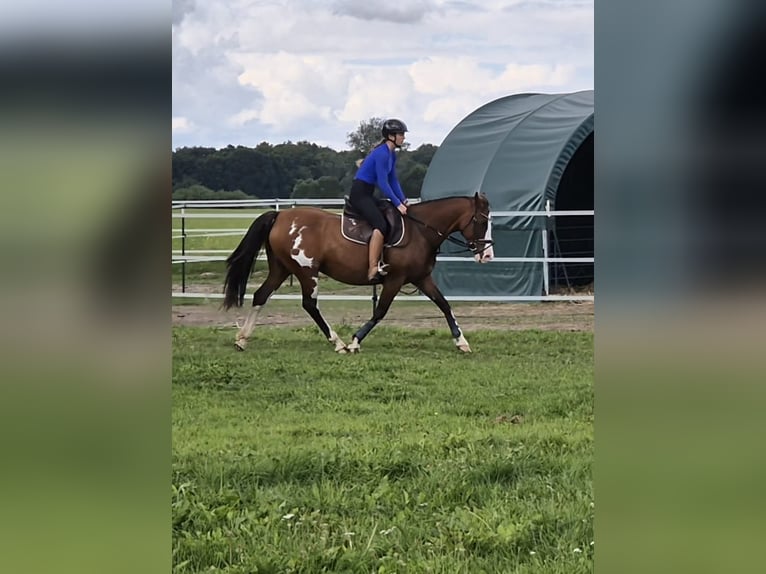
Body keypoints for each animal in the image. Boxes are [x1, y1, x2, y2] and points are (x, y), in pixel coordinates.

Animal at [222, 192, 494, 353]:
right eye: (482, 221)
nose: (487, 255)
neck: (420, 231)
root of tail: (280, 215)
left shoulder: (421, 278)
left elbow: (444, 304)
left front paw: (461, 341)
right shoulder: (395, 279)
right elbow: (380, 311)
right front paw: (355, 341)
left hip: (281, 269)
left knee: (261, 296)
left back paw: (242, 339)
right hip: (307, 271)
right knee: (310, 304)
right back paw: (338, 343)